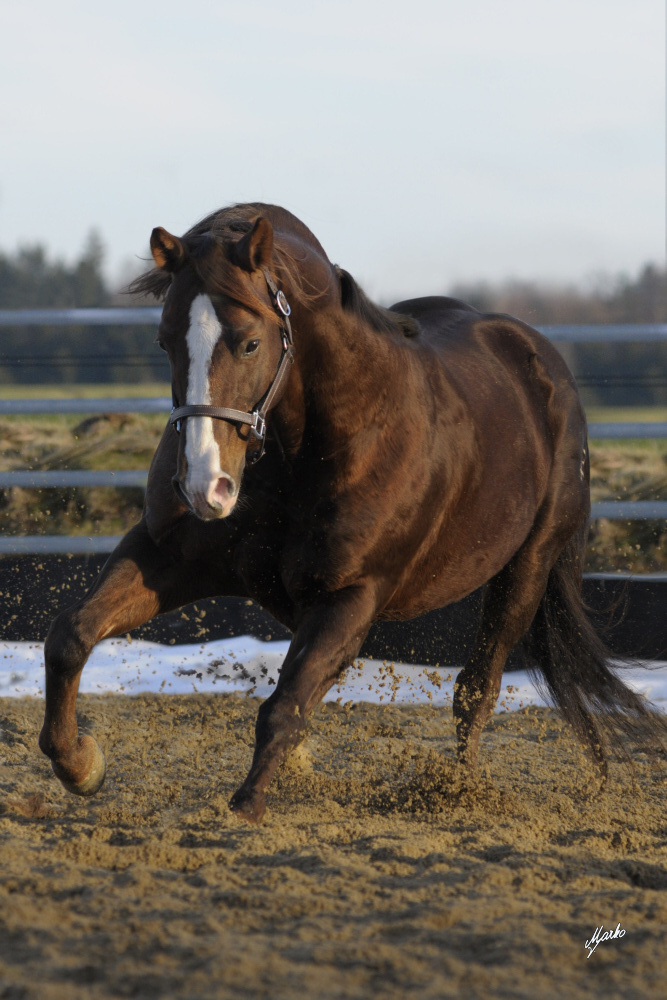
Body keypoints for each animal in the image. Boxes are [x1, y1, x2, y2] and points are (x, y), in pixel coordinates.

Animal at [37, 201, 667, 820]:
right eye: (165, 342)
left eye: (249, 343)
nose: (203, 486)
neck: (303, 451)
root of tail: (540, 362)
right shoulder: (168, 554)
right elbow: (71, 634)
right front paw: (79, 763)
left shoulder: (353, 596)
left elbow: (284, 706)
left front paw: (246, 808)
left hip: (527, 569)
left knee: (476, 688)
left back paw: (459, 791)